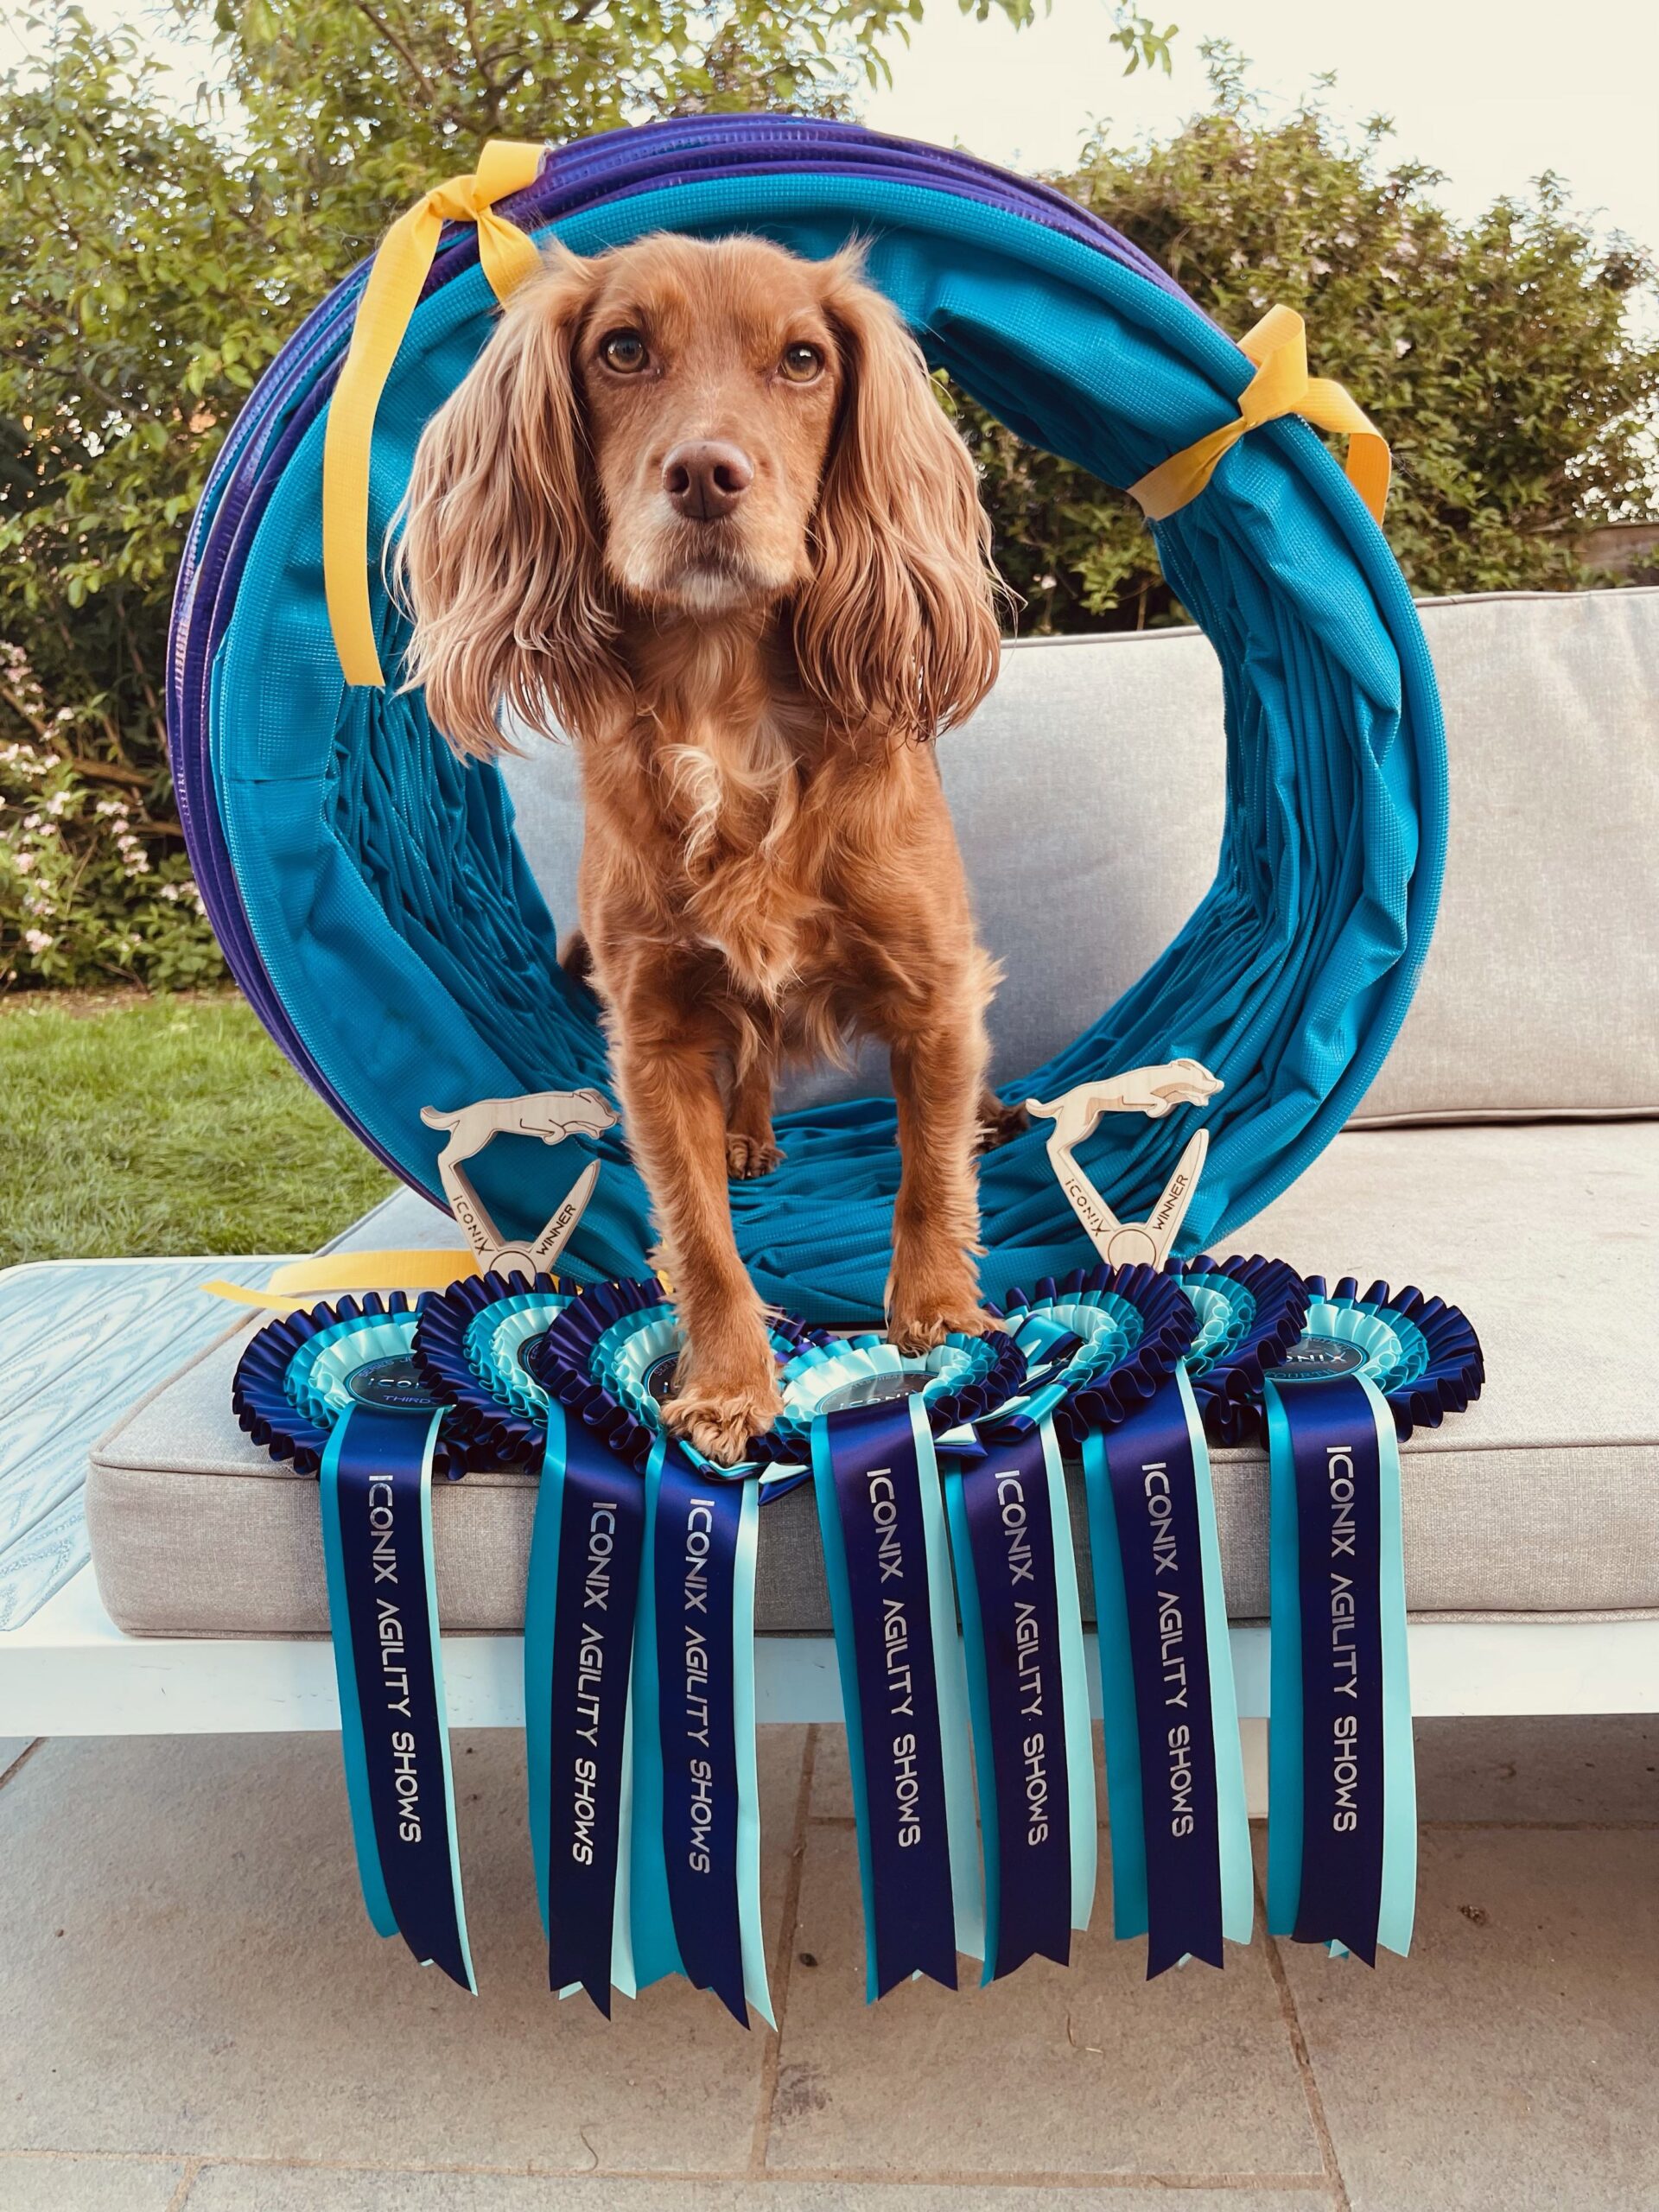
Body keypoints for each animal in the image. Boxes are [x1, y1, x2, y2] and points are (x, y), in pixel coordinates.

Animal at [402, 233, 1026, 1459]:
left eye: (803, 359)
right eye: (621, 349)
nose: (704, 475)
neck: (727, 705)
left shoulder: (934, 991)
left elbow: (927, 1169)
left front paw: (937, 1313)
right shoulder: (653, 1038)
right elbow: (698, 1232)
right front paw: (732, 1383)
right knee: (753, 1074)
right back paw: (750, 1137)